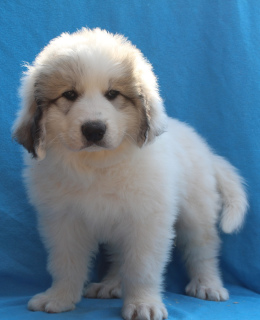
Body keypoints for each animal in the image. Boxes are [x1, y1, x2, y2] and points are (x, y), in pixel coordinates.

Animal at [12, 28, 248, 318]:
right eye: (69, 94)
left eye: (113, 94)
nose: (93, 129)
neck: (97, 166)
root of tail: (207, 152)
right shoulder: (62, 221)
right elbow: (65, 263)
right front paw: (59, 298)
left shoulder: (146, 221)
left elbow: (141, 268)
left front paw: (143, 304)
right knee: (118, 258)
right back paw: (110, 285)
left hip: (197, 213)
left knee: (203, 251)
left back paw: (208, 285)